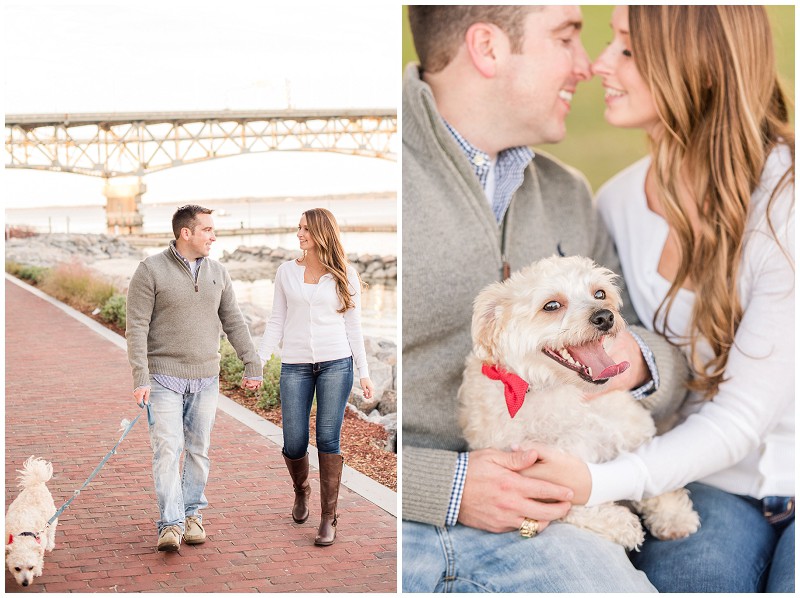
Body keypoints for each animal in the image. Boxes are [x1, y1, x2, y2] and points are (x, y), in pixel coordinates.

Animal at [5, 458, 58, 588]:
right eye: (17, 568)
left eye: (31, 567)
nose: (25, 583)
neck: (22, 533)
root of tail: (36, 483)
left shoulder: (40, 544)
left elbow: (39, 558)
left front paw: (38, 570)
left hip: (51, 517)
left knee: (51, 533)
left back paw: (50, 545)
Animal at [456, 255, 700, 552]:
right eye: (551, 305)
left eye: (600, 293)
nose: (605, 316)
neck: (560, 390)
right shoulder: (539, 478)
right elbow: (576, 503)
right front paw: (621, 523)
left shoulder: (633, 432)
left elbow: (653, 474)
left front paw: (674, 516)